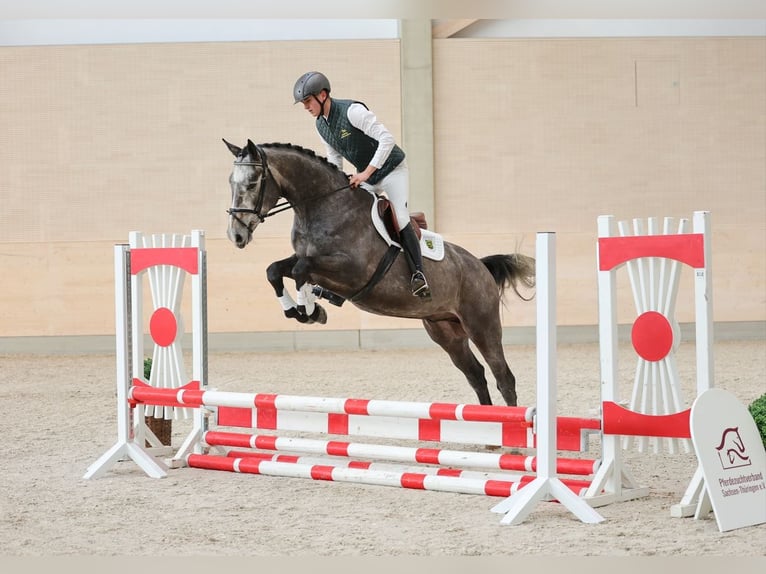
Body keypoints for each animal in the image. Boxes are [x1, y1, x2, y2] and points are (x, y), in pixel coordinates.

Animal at [223, 138, 536, 407]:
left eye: (252, 183)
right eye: (231, 183)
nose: (236, 235)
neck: (323, 205)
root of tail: (480, 266)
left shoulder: (351, 271)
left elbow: (300, 271)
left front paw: (308, 310)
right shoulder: (308, 261)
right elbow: (275, 270)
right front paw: (301, 310)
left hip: (481, 325)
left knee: (503, 376)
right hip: (445, 331)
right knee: (476, 374)